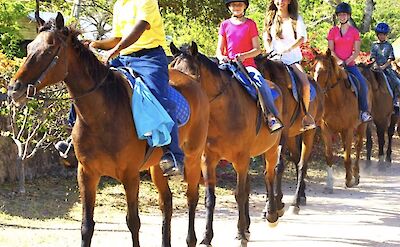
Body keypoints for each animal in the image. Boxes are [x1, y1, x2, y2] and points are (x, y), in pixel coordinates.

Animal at [7, 13, 209, 247]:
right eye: (30, 47)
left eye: (49, 50)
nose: (14, 89)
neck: (102, 116)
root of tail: (192, 81)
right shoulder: (86, 173)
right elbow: (87, 226)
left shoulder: (130, 175)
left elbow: (133, 222)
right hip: (156, 166)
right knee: (166, 201)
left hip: (193, 158)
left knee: (192, 197)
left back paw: (192, 238)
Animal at [169, 41, 282, 246]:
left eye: (191, 73)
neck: (223, 112)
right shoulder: (208, 160)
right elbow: (210, 198)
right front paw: (207, 236)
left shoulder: (241, 159)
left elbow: (240, 194)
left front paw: (242, 235)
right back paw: (246, 226)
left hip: (270, 149)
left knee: (269, 175)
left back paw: (270, 215)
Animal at [256, 56, 324, 214]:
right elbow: (267, 168)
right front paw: (269, 204)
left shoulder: (283, 133)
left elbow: (278, 165)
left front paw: (276, 203)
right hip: (293, 136)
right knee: (296, 158)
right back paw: (302, 196)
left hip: (308, 132)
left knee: (302, 164)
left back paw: (296, 202)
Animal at [312, 49, 372, 192]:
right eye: (313, 69)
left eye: (324, 70)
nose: (315, 90)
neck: (337, 100)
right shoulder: (326, 129)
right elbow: (329, 156)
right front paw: (329, 184)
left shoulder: (349, 129)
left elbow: (347, 156)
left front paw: (349, 180)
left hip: (361, 127)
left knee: (358, 148)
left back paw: (355, 176)